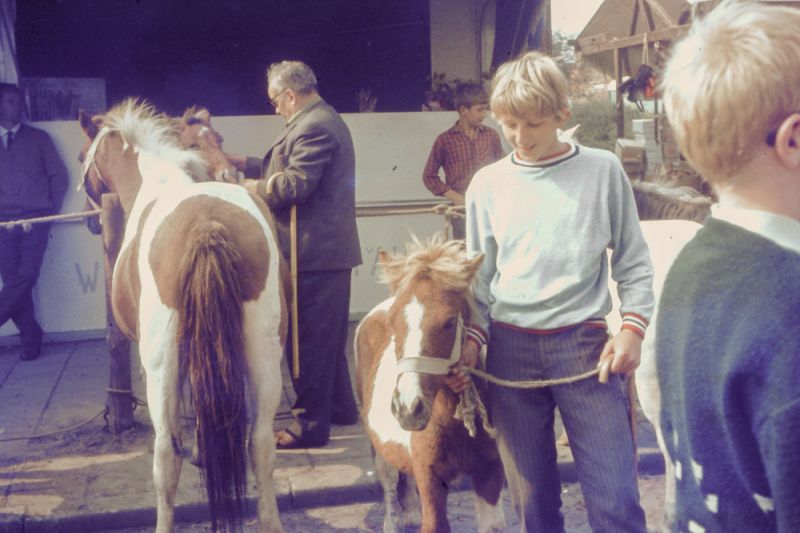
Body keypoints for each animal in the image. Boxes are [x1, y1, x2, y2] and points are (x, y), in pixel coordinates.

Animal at [77, 99, 287, 533]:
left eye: (80, 157)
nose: (89, 218)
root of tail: (207, 224)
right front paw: (206, 452)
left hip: (162, 367)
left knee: (166, 453)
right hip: (263, 355)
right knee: (260, 443)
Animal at [354, 237, 506, 533]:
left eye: (449, 322)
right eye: (394, 321)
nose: (407, 408)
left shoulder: (490, 472)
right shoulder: (430, 478)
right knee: (389, 482)